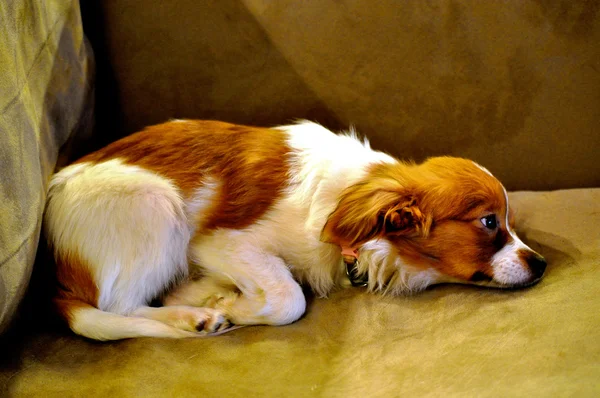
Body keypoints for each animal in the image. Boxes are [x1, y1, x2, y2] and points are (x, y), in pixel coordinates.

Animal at [44, 119, 548, 340]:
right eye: (488, 222)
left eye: (510, 222)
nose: (542, 264)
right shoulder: (220, 242)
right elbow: (289, 297)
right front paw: (232, 306)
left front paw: (207, 294)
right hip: (156, 207)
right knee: (118, 304)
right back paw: (197, 320)